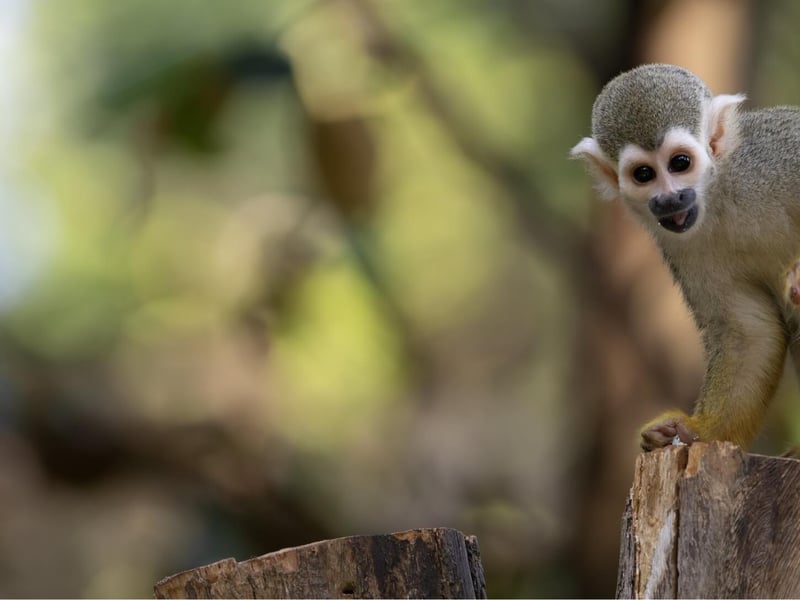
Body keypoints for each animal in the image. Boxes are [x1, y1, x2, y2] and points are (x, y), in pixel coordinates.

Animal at [571, 63, 800, 452]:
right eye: (644, 174)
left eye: (680, 163)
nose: (670, 199)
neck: (719, 194)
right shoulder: (682, 245)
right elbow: (748, 332)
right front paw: (696, 430)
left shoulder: (777, 153)